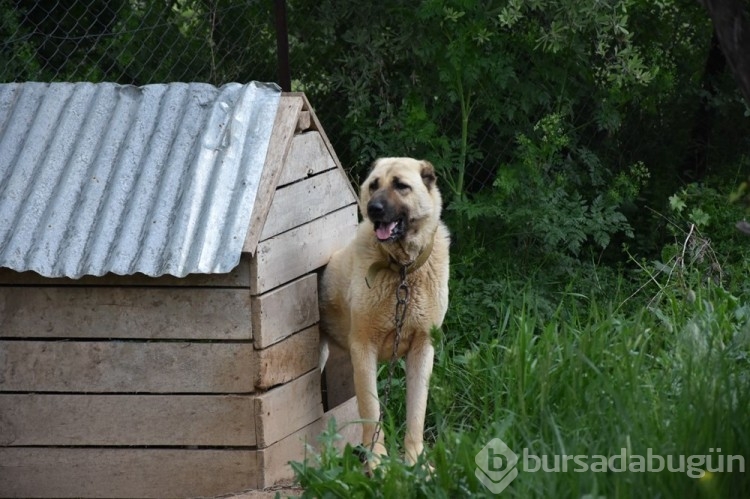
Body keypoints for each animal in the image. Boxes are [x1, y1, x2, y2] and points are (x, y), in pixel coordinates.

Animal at [318, 157, 450, 468]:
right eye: (374, 185)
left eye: (401, 186)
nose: (373, 209)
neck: (402, 270)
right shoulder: (363, 349)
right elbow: (371, 410)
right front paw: (376, 463)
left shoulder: (422, 350)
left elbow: (416, 413)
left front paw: (416, 462)